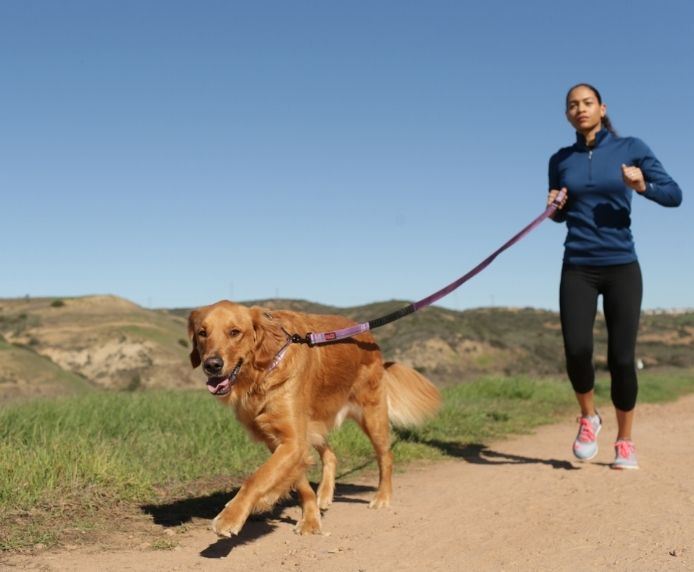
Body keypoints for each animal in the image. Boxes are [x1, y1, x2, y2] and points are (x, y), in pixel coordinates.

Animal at [189, 302, 440, 540]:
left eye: (234, 332)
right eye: (202, 333)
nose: (212, 365)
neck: (263, 370)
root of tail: (370, 338)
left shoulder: (293, 441)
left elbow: (257, 478)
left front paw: (230, 517)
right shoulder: (281, 440)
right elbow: (297, 482)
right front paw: (309, 518)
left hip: (372, 416)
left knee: (386, 457)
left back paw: (382, 496)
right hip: (314, 424)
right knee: (330, 454)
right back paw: (323, 494)